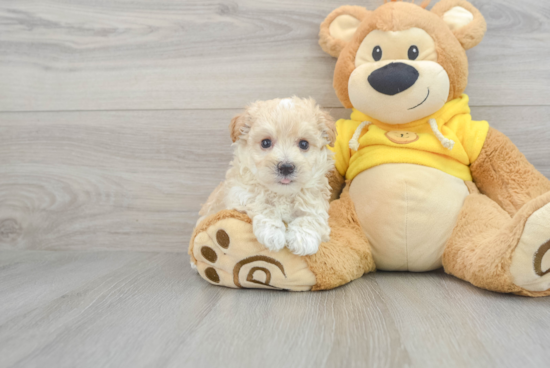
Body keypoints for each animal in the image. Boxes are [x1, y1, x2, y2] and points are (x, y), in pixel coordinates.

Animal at [198, 97, 336, 256]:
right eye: (265, 142)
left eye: (304, 144)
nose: (286, 167)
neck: (282, 194)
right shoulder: (239, 195)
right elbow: (261, 203)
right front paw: (272, 233)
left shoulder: (316, 199)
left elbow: (312, 215)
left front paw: (303, 238)